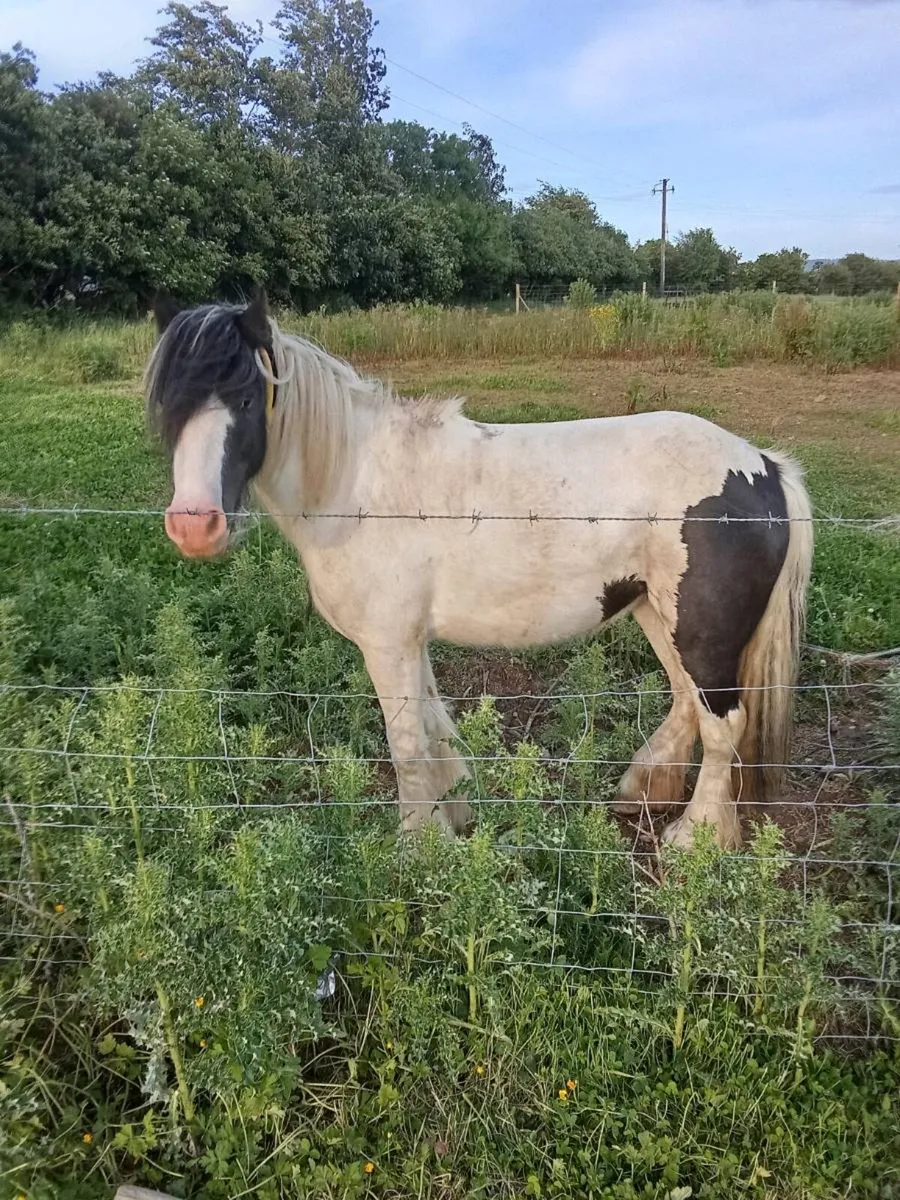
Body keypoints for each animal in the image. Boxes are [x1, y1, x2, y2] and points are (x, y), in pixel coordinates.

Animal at [145, 290, 813, 850]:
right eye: (168, 407)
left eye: (247, 398)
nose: (194, 526)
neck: (358, 485)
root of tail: (761, 466)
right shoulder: (408, 641)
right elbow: (431, 729)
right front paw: (453, 814)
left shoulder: (386, 643)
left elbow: (407, 743)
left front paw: (418, 844)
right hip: (658, 613)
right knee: (686, 703)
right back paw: (641, 791)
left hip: (702, 631)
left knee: (723, 724)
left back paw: (694, 837)